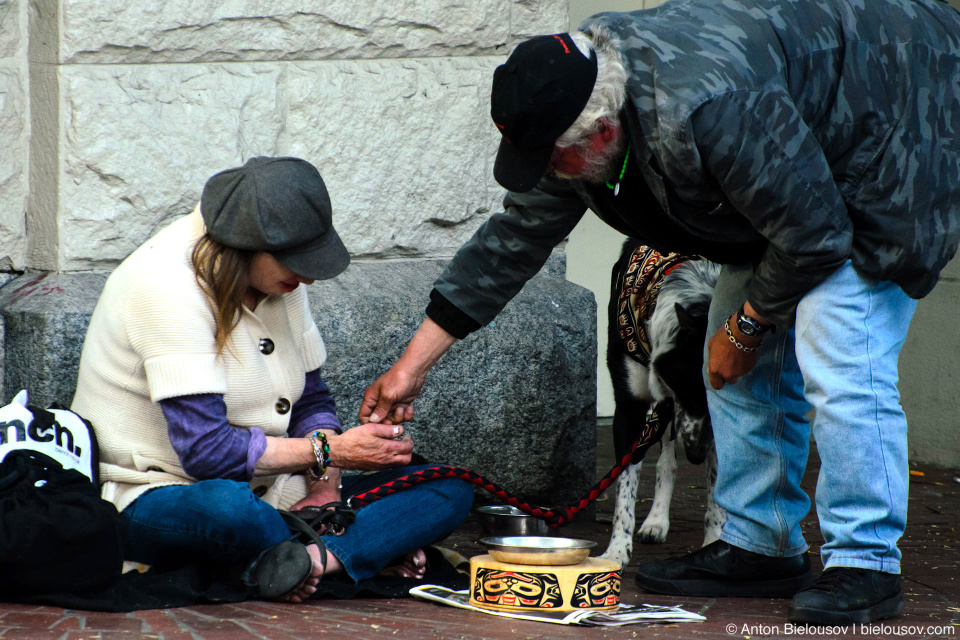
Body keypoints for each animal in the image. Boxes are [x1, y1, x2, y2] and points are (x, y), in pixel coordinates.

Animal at [600, 242, 728, 568]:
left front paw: (714, 544)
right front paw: (616, 552)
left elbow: (717, 489)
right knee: (665, 461)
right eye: (691, 394)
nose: (695, 456)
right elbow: (624, 486)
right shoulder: (629, 408)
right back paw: (656, 521)